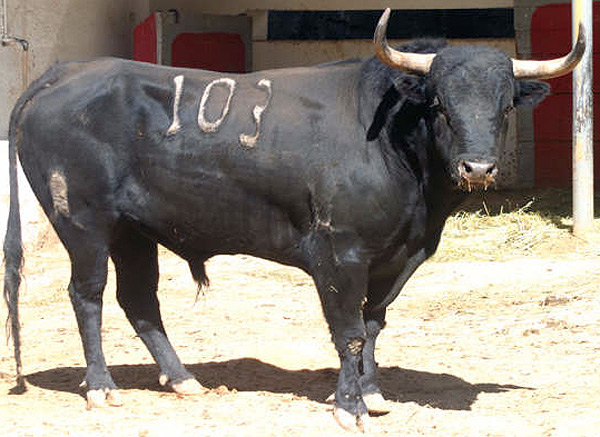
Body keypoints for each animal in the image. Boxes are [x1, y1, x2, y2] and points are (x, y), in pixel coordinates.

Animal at [4, 9, 584, 432]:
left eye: (506, 106)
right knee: (88, 295)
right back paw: (102, 388)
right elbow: (348, 330)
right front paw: (350, 407)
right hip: (84, 223)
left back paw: (183, 380)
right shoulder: (339, 253)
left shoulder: (398, 256)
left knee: (139, 299)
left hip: (132, 230)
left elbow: (373, 325)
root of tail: (64, 73)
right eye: (439, 103)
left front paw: (372, 394)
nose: (478, 168)